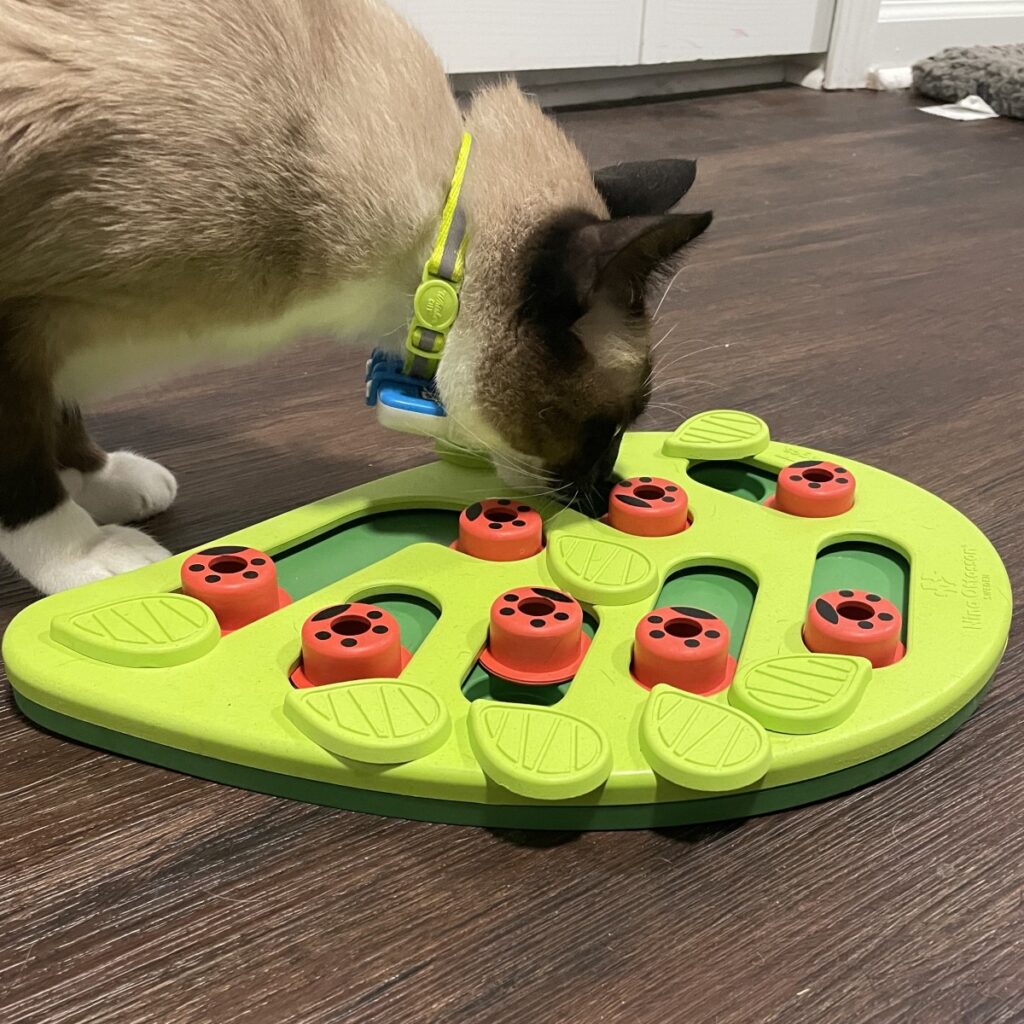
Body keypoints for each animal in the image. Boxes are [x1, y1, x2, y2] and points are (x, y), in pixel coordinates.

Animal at [0, 0, 712, 593]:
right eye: (609, 425)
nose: (606, 491)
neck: (434, 239)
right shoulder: (22, 333)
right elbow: (26, 471)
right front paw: (80, 555)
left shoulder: (49, 351)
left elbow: (63, 419)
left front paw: (99, 481)